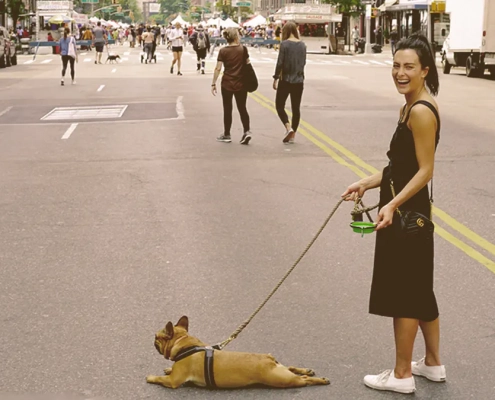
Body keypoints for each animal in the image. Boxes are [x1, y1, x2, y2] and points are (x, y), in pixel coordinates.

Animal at [148, 316, 334, 388]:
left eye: (156, 337)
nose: (152, 339)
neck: (185, 344)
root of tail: (268, 358)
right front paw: (168, 368)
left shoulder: (173, 381)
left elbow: (160, 379)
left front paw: (150, 377)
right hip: (281, 371)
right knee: (292, 368)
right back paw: (307, 370)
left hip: (282, 380)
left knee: (303, 380)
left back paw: (320, 380)